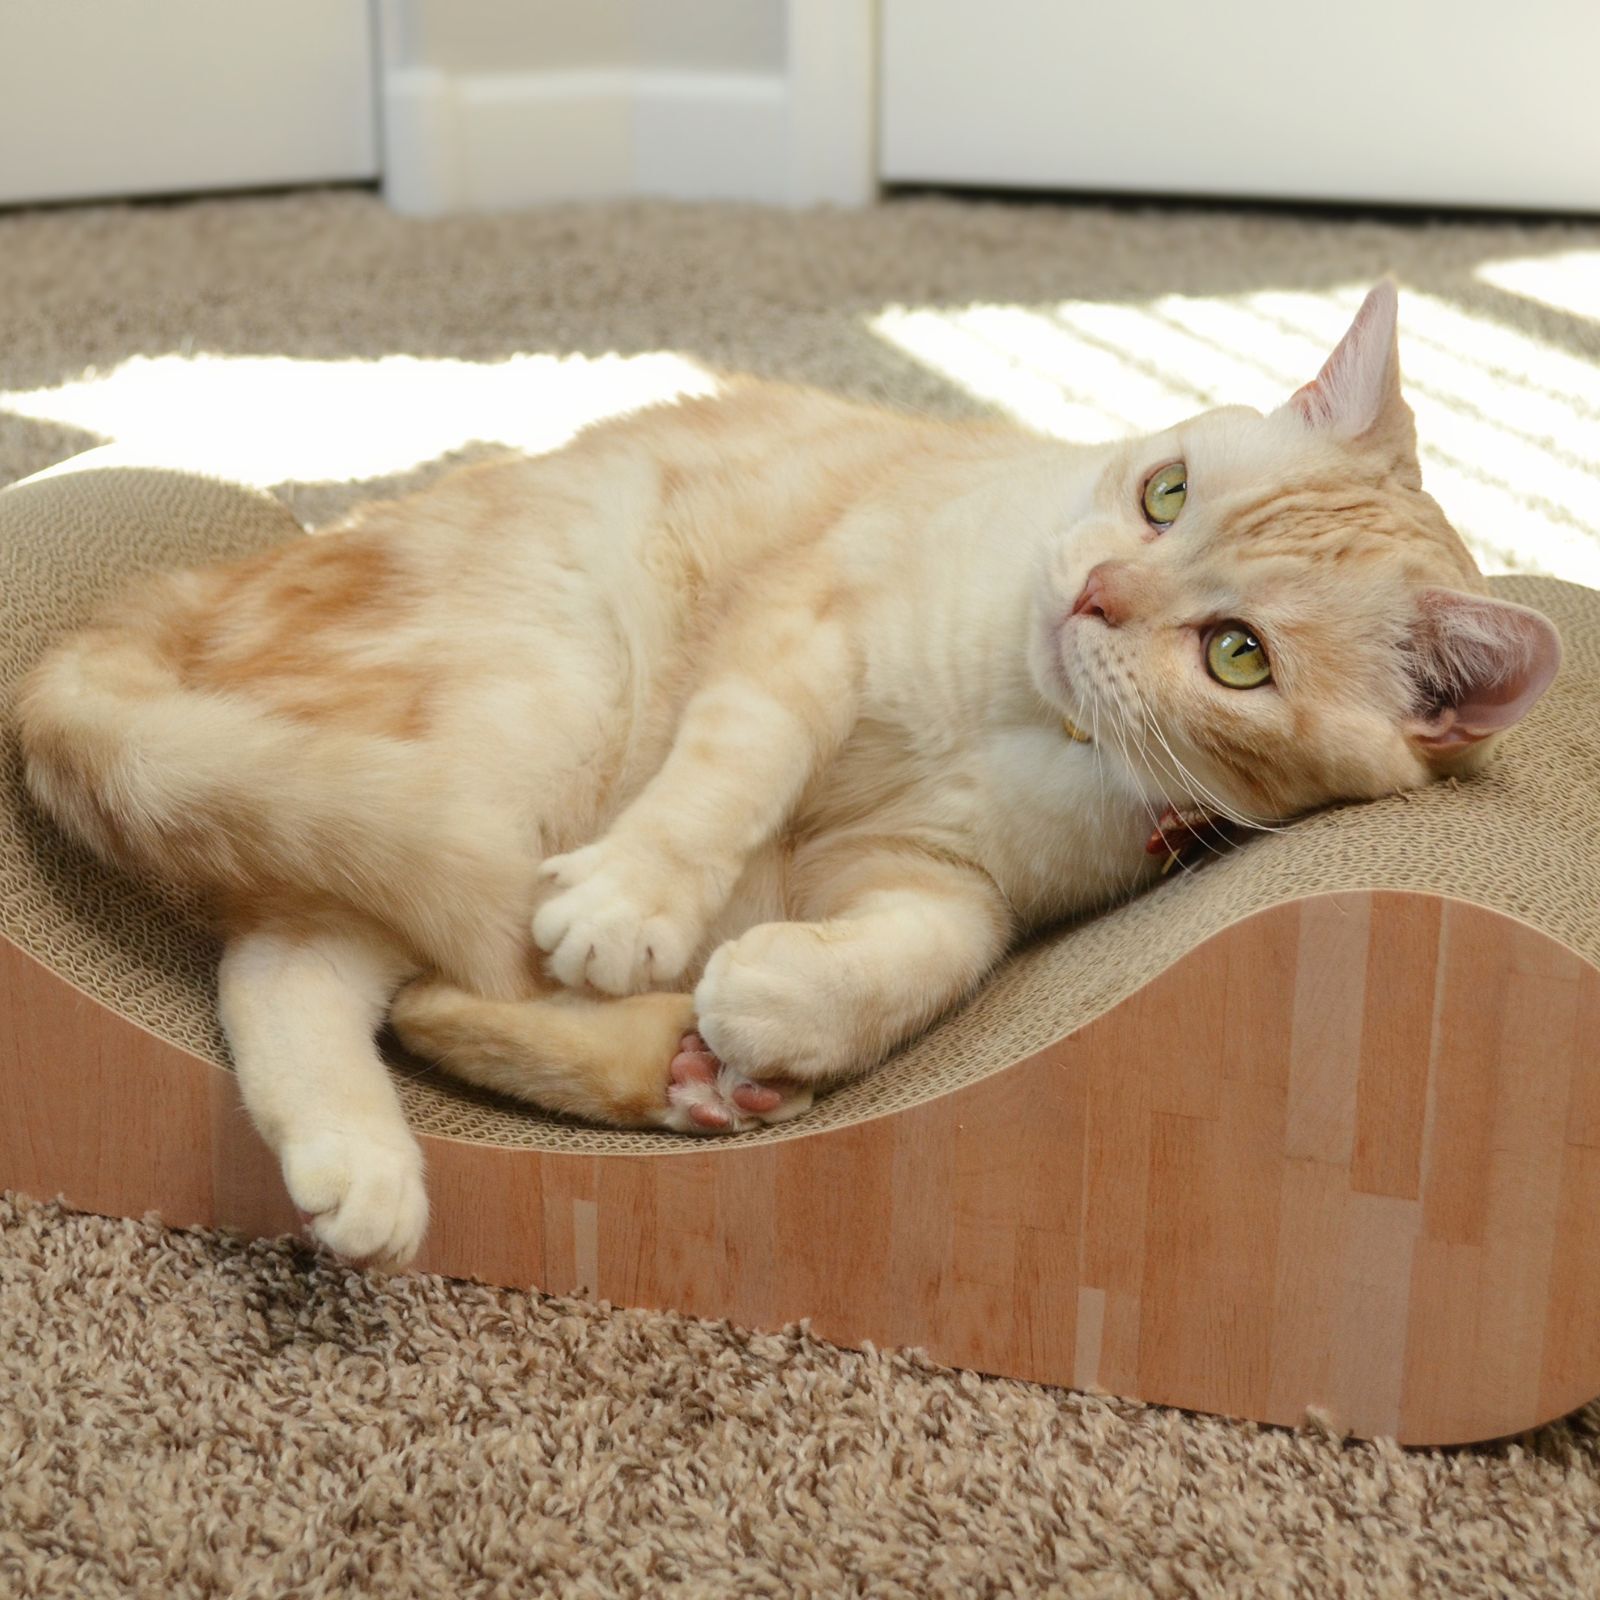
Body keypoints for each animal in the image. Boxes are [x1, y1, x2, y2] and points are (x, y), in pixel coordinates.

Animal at [15, 281, 1561, 1267]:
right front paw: (634, 904)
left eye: (1237, 655)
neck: (1018, 718)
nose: (1096, 597)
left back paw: (613, 1096)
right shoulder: (808, 633)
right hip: (538, 708)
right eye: (1164, 492)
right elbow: (727, 775)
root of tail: (199, 584)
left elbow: (928, 956)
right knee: (305, 958)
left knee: (350, 978)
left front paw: (780, 1006)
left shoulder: (939, 879)